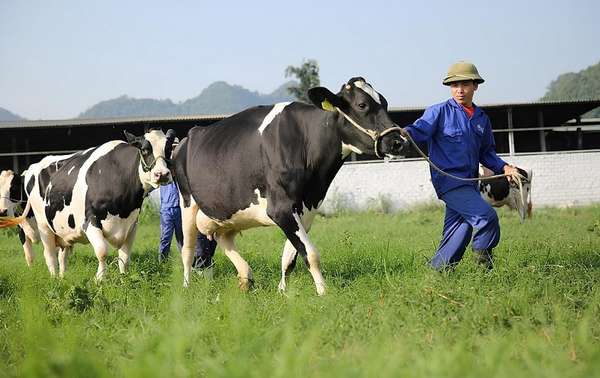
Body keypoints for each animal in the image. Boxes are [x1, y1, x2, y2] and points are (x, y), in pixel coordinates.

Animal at [1, 128, 176, 280]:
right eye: (145, 150)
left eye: (168, 150)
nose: (162, 174)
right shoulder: (90, 220)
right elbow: (102, 252)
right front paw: (100, 279)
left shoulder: (132, 225)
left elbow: (125, 257)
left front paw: (124, 279)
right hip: (44, 226)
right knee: (49, 255)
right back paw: (54, 279)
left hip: (63, 230)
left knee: (62, 256)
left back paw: (63, 278)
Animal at [172, 77, 408, 296]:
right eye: (362, 105)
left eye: (385, 102)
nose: (398, 141)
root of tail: (188, 136)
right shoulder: (280, 208)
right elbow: (310, 253)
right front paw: (323, 292)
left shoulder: (306, 208)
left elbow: (290, 256)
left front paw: (283, 291)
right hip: (186, 202)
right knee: (188, 250)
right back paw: (186, 286)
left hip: (226, 211)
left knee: (224, 237)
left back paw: (246, 279)